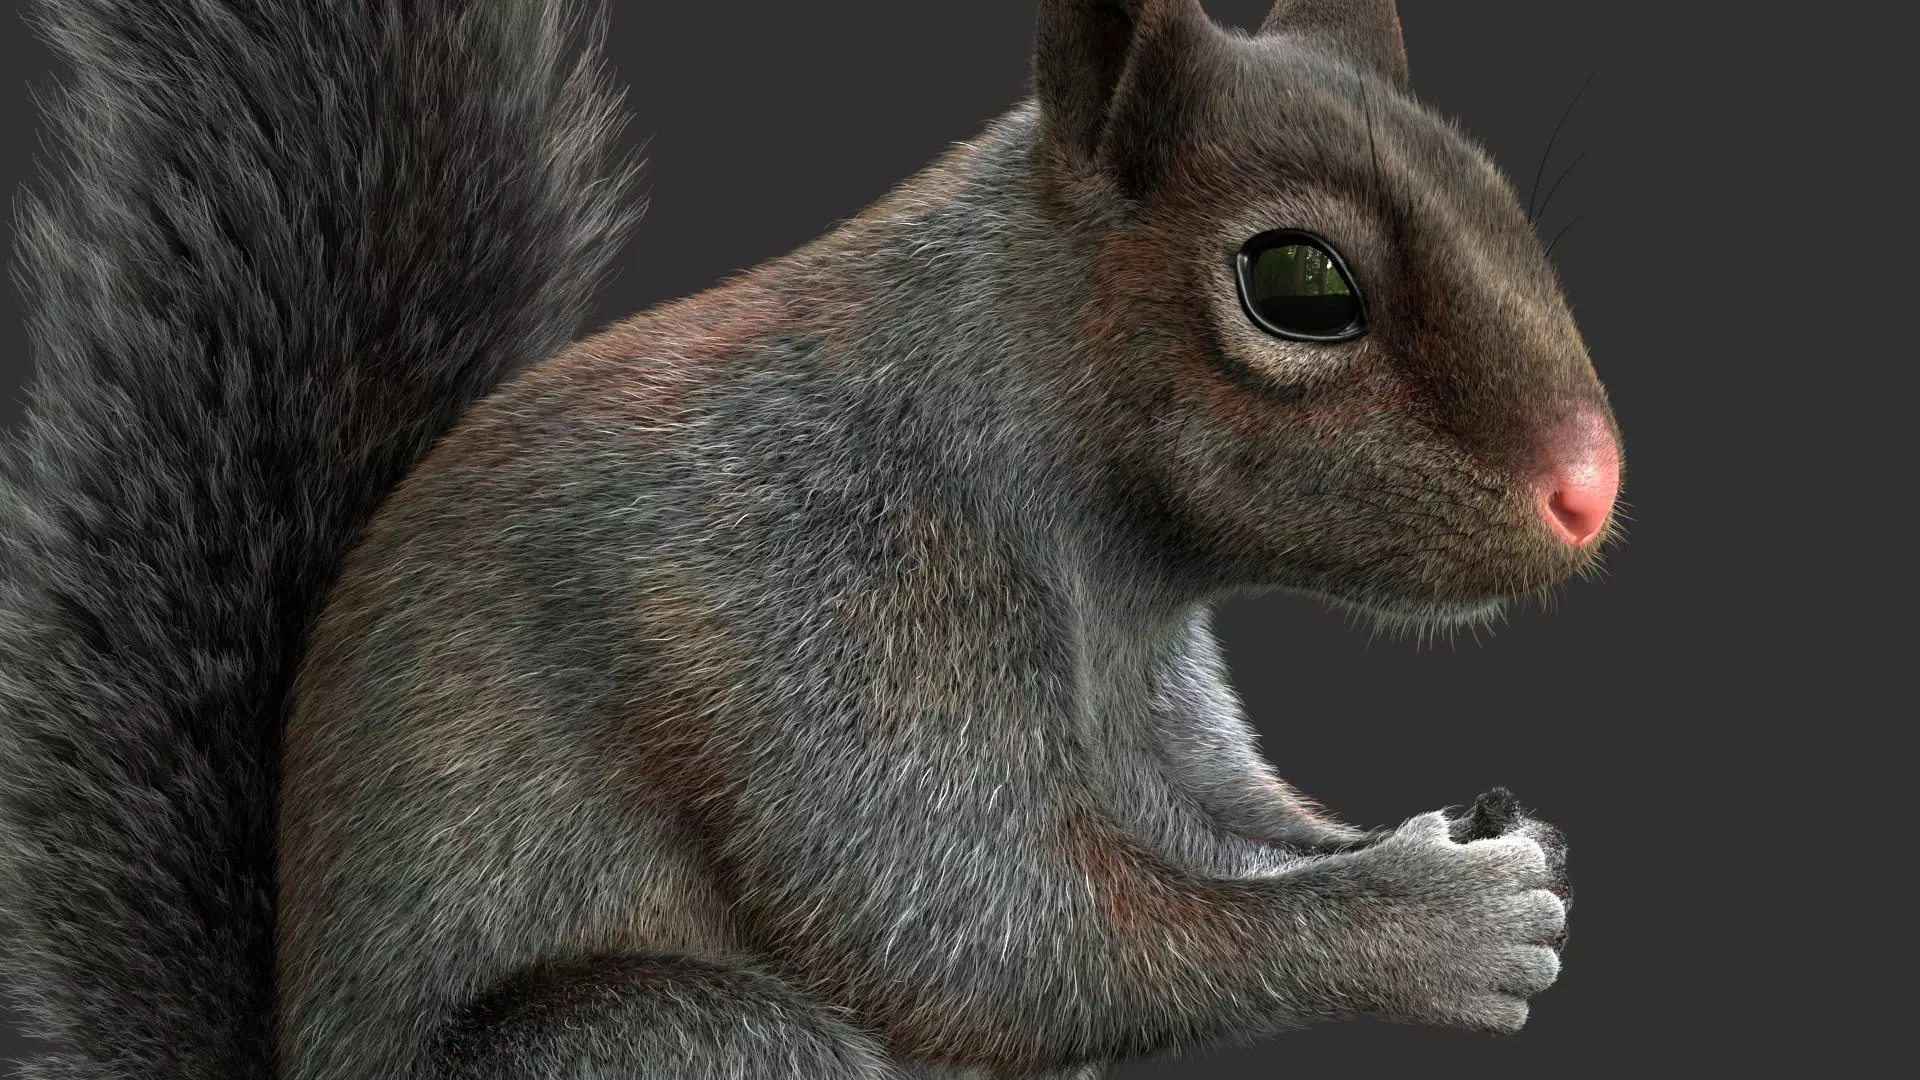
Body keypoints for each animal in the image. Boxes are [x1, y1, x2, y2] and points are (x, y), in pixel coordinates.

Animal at [0, 0, 1622, 1078]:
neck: (1112, 568)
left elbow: (1202, 823)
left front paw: (1465, 841)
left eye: (1491, 191)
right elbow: (980, 923)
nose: (1594, 488)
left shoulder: (1147, 698)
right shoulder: (820, 591)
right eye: (1300, 285)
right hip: (669, 1042)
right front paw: (1440, 923)